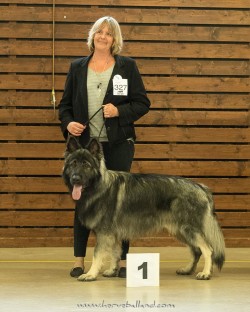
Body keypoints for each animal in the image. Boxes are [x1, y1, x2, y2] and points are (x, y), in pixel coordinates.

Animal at [62, 135, 225, 282]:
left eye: (86, 165)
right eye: (73, 163)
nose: (75, 178)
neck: (99, 186)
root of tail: (201, 187)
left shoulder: (104, 233)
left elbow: (97, 255)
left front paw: (91, 274)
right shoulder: (112, 233)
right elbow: (115, 252)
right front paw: (112, 270)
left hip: (188, 229)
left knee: (207, 249)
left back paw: (205, 273)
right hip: (180, 230)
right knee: (196, 251)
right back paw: (188, 269)